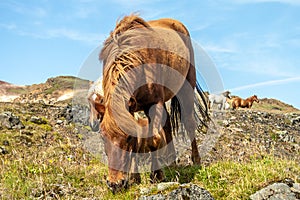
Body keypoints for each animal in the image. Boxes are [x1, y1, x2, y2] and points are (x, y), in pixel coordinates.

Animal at [96, 14, 209, 192]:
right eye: (102, 137)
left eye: (127, 137)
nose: (115, 184)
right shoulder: (134, 108)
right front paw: (135, 178)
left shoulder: (154, 104)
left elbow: (153, 140)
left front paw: (156, 175)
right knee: (168, 124)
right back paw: (172, 161)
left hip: (186, 86)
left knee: (189, 123)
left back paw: (196, 160)